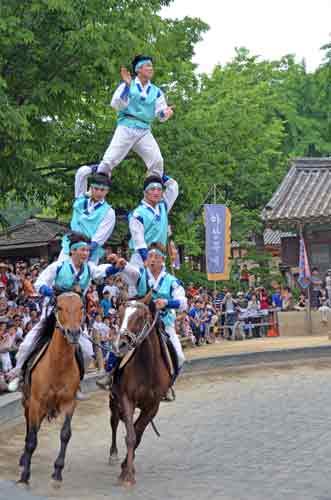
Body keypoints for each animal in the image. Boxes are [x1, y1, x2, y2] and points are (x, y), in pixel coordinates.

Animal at [18, 292, 84, 486]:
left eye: (81, 307)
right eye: (60, 307)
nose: (73, 333)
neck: (57, 365)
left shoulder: (69, 402)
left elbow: (65, 434)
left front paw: (58, 470)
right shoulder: (35, 402)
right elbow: (32, 439)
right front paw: (25, 475)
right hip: (29, 403)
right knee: (29, 428)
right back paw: (24, 458)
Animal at [109, 298, 172, 486]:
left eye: (140, 317)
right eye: (119, 314)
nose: (120, 344)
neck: (147, 366)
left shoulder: (153, 406)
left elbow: (137, 434)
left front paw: (127, 468)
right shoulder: (126, 399)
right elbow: (131, 436)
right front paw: (127, 475)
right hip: (114, 400)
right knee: (114, 421)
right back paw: (113, 453)